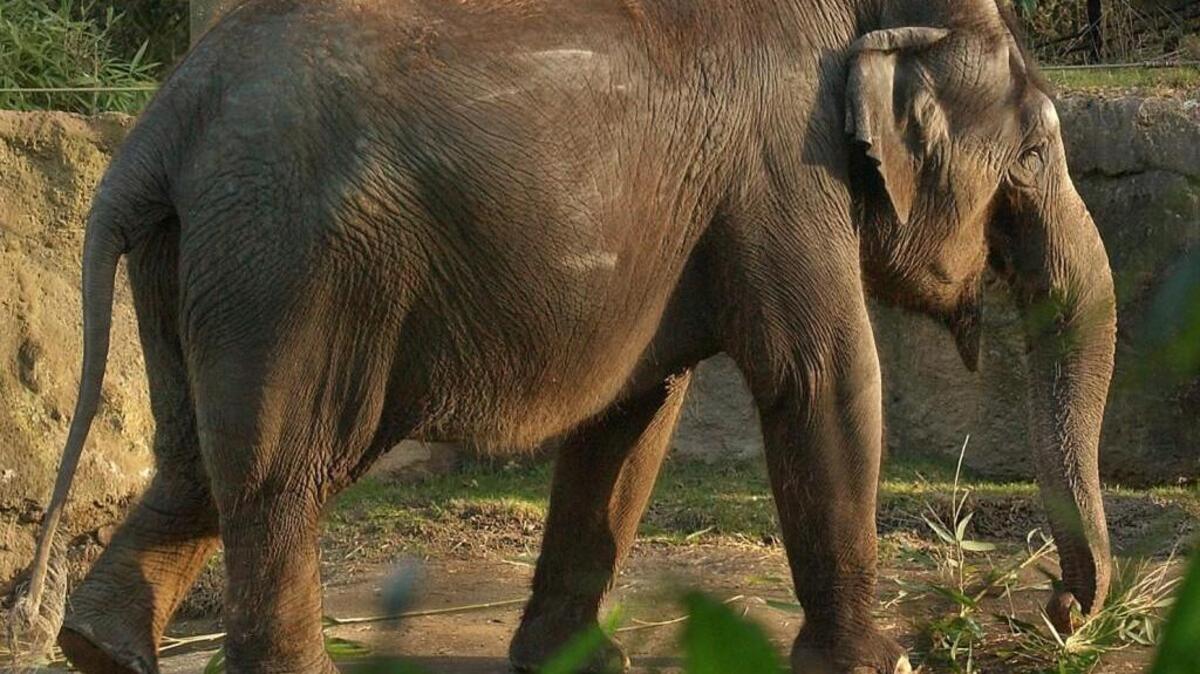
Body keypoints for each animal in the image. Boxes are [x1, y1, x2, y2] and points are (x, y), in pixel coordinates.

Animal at [11, 0, 1117, 672]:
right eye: (1032, 153)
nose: (1061, 612)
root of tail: (165, 117)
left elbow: (635, 412)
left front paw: (577, 661)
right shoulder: (783, 171)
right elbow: (823, 380)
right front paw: (878, 663)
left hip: (199, 255)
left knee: (196, 455)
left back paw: (100, 647)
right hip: (289, 265)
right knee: (282, 472)